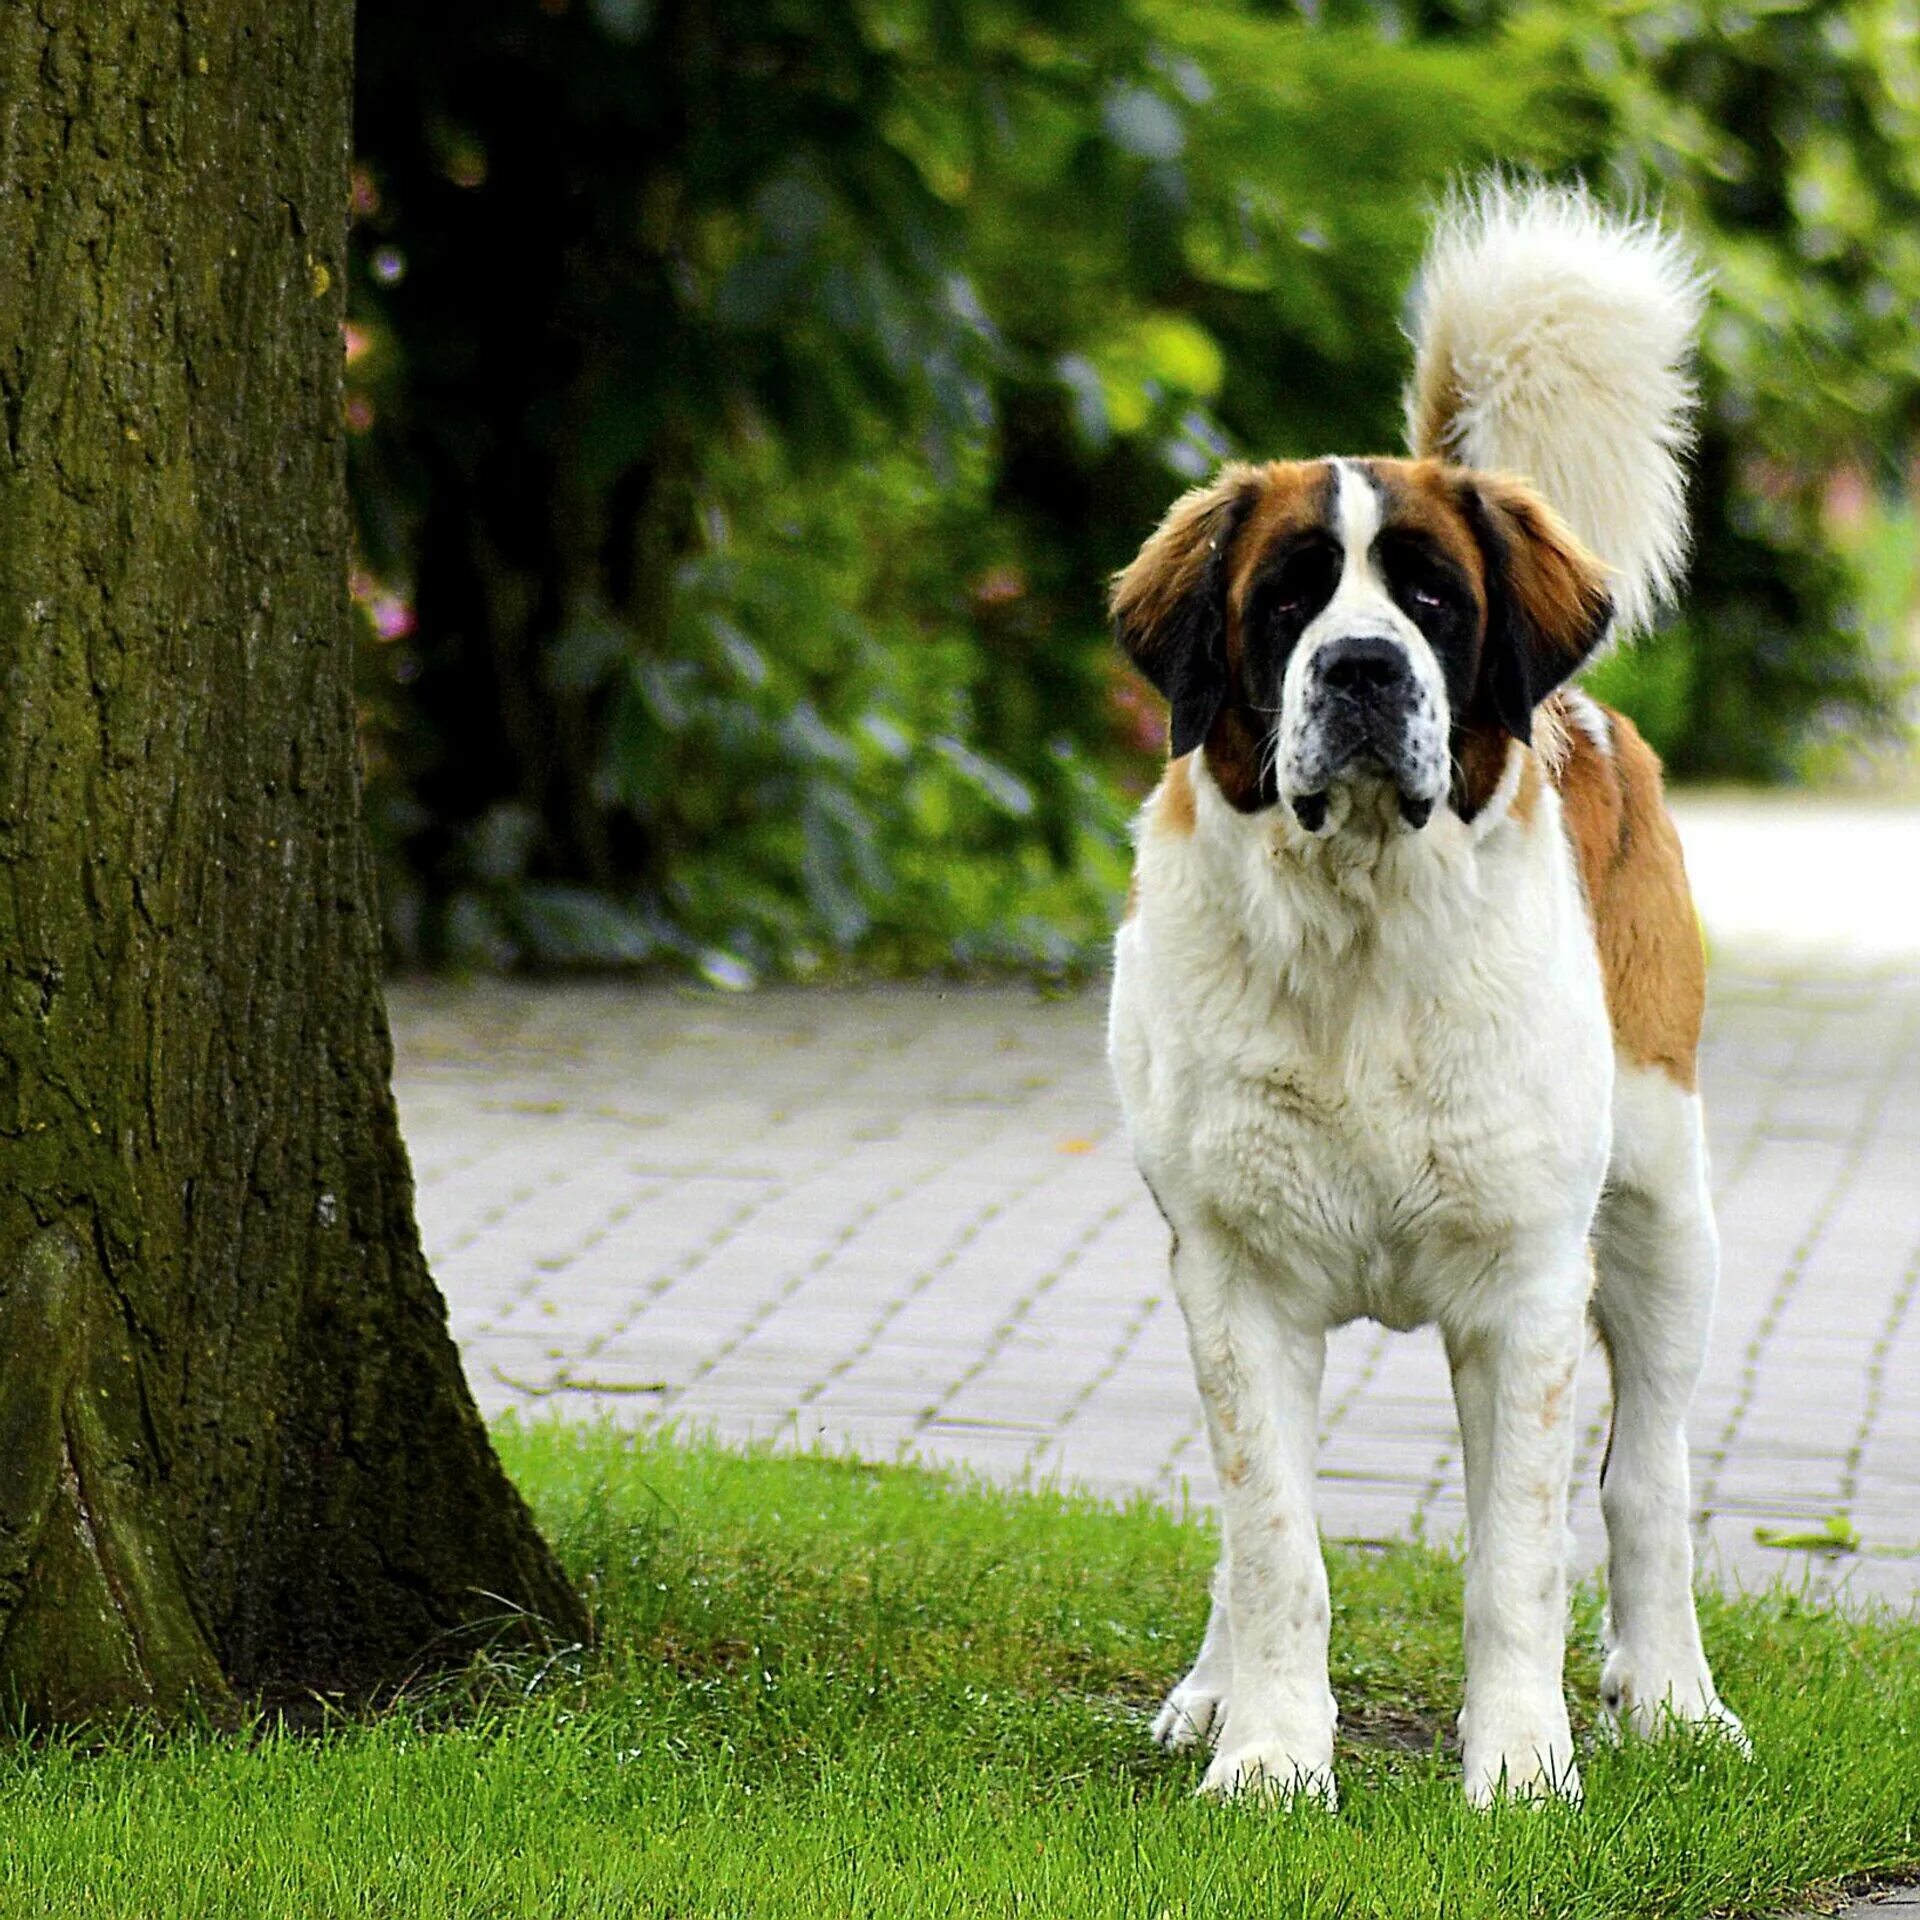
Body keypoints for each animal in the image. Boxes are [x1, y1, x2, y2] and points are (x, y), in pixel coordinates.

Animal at [1105, 176, 1751, 1797]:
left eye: (1433, 604)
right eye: (1284, 605)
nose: (1361, 669)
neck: (1362, 933)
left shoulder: (1524, 1287)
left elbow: (1519, 1554)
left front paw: (1519, 1772)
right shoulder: (1234, 1274)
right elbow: (1272, 1539)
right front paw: (1268, 1758)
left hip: (1663, 1207)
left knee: (1649, 1478)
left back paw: (1672, 1696)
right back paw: (1209, 1694)